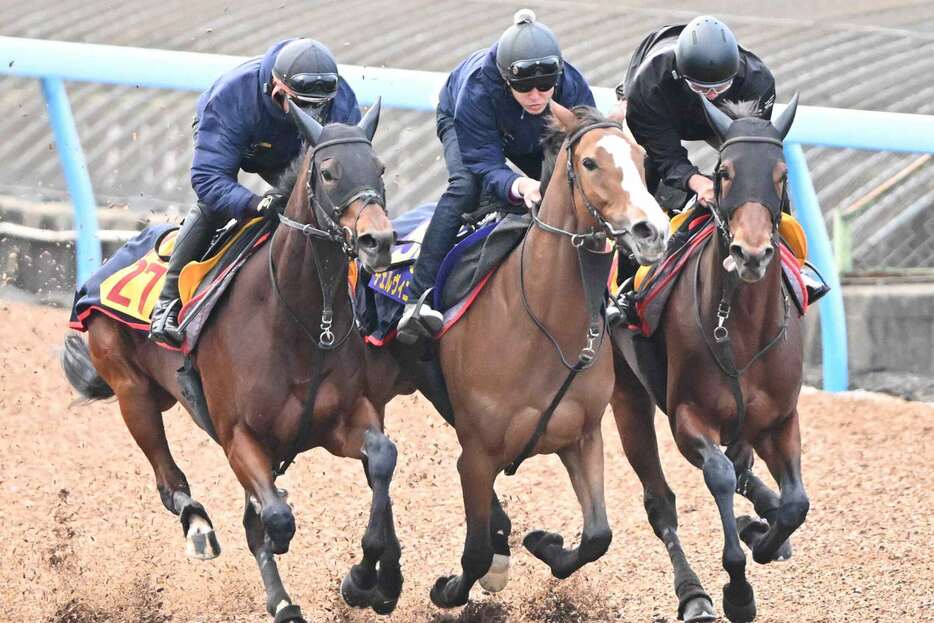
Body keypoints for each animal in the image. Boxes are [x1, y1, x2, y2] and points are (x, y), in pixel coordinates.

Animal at [61, 102, 406, 623]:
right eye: (328, 172)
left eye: (381, 168)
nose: (378, 241)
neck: (303, 324)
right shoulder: (239, 436)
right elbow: (274, 519)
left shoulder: (346, 419)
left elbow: (382, 460)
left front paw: (371, 580)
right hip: (131, 390)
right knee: (169, 481)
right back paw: (201, 529)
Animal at [366, 103, 672, 608]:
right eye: (590, 163)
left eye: (642, 157)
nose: (653, 232)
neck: (544, 326)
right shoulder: (476, 453)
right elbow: (472, 552)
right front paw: (449, 588)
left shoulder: (582, 436)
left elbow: (597, 536)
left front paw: (543, 542)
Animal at [612, 95, 808, 623]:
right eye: (723, 172)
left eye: (782, 174)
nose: (751, 254)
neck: (739, 328)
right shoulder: (688, 417)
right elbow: (718, 475)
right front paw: (737, 589)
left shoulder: (780, 419)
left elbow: (796, 504)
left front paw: (764, 535)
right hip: (626, 397)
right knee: (661, 502)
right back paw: (693, 592)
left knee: (744, 469)